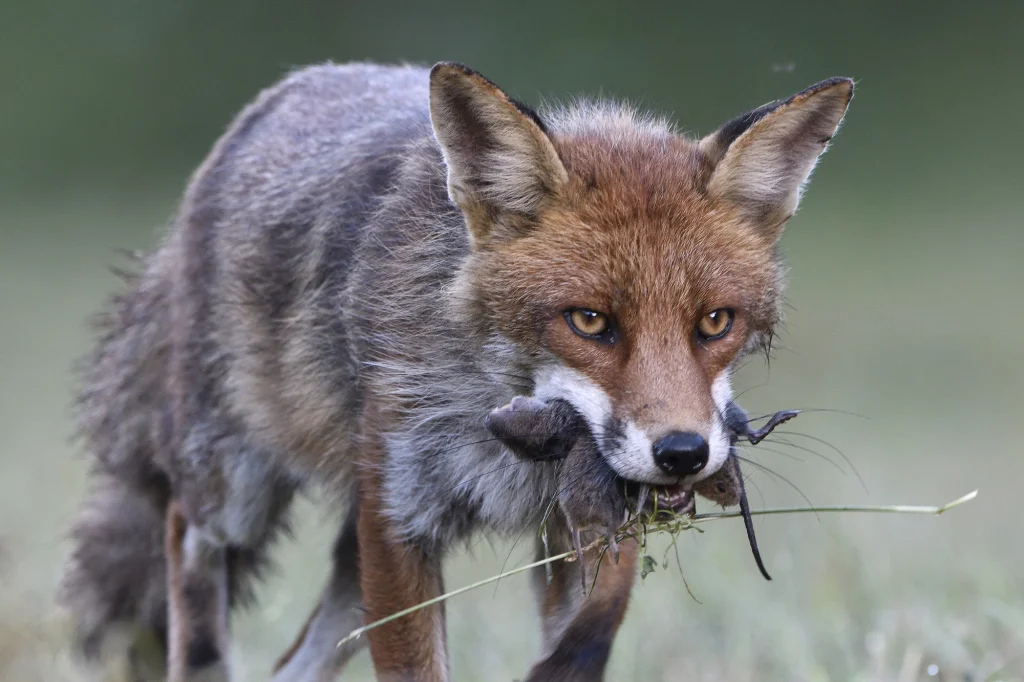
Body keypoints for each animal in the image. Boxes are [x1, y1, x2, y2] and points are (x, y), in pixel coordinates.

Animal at [59, 60, 853, 682]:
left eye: (715, 323)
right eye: (588, 321)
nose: (684, 454)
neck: (504, 412)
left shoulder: (585, 510)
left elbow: (597, 624)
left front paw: (559, 667)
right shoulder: (398, 519)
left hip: (347, 553)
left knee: (294, 665)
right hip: (233, 490)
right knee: (185, 546)